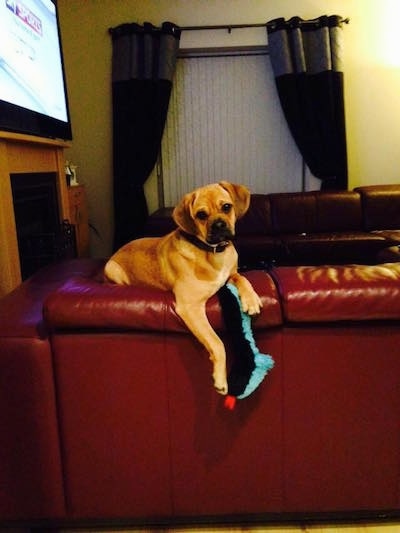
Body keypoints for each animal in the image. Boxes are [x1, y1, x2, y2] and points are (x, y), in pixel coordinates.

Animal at [104, 181, 262, 392]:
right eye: (201, 215)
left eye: (227, 207)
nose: (219, 225)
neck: (213, 252)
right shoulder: (191, 307)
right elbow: (217, 342)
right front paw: (220, 379)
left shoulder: (231, 274)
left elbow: (241, 278)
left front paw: (251, 299)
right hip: (112, 269)